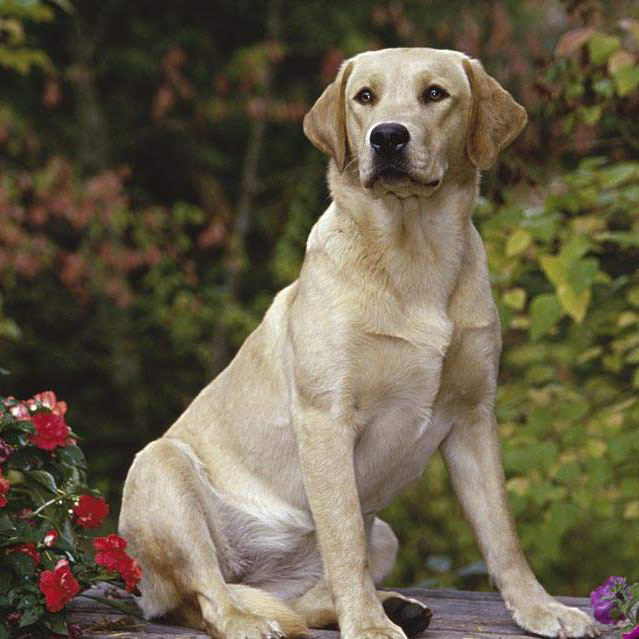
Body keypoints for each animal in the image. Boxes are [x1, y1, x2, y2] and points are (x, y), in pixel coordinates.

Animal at [119, 48, 600, 639]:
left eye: (435, 93)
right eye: (364, 97)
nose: (387, 137)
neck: (414, 256)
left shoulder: (474, 418)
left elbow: (503, 536)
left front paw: (542, 609)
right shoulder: (327, 418)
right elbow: (344, 538)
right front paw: (368, 626)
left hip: (385, 534)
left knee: (301, 599)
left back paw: (394, 606)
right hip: (161, 468)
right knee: (205, 596)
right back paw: (252, 619)